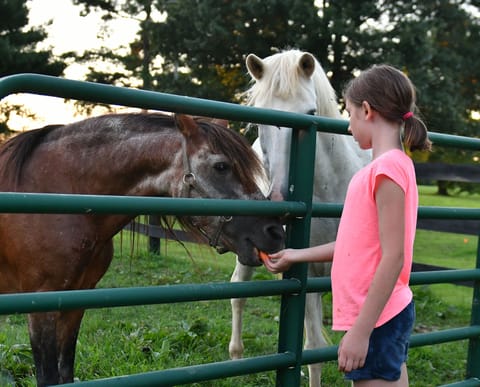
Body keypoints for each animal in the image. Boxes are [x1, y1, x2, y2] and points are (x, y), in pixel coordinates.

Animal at [0, 110, 284, 386]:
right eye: (221, 166)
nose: (274, 232)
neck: (59, 192)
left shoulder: (75, 301)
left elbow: (65, 371)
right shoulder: (41, 307)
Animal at [229, 50, 372, 386]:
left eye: (310, 112)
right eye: (261, 117)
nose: (279, 197)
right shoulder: (306, 273)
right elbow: (314, 348)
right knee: (238, 292)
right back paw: (236, 358)